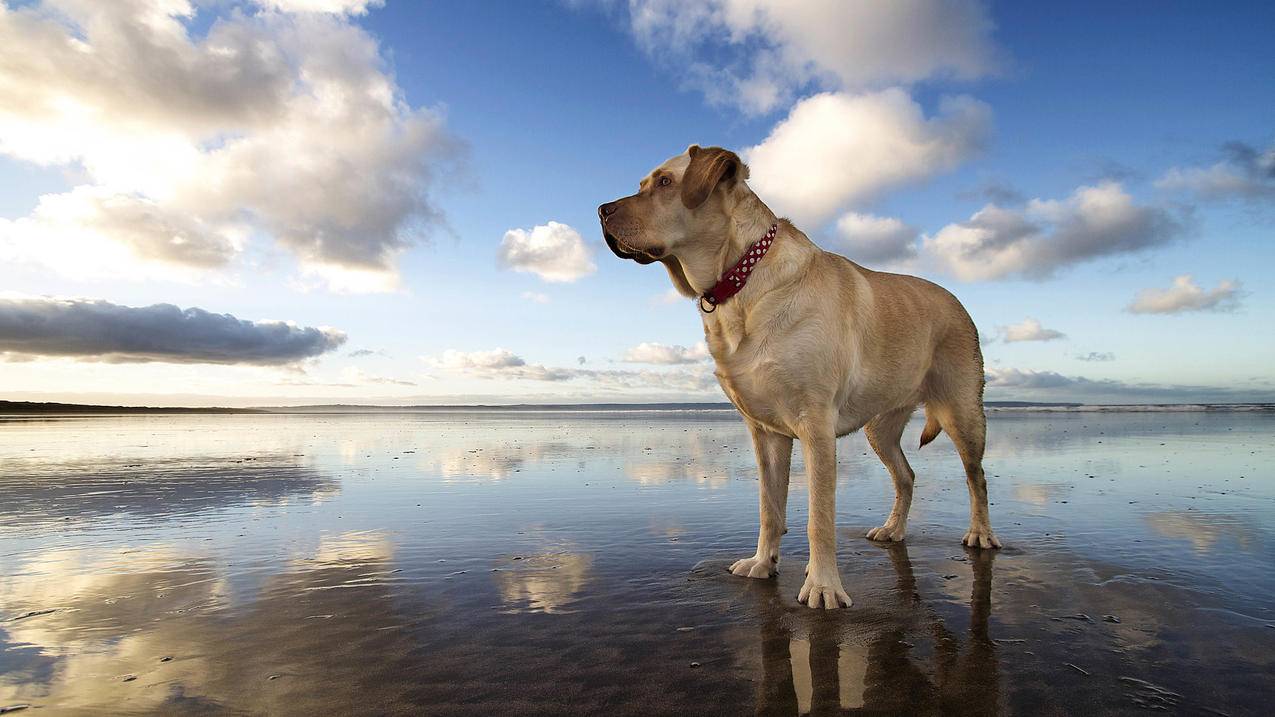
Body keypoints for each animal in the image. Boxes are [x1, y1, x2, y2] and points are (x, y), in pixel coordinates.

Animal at [601, 145, 999, 607]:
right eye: (642, 184)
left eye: (665, 182)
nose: (601, 210)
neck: (741, 282)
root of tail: (957, 300)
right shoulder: (766, 432)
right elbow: (769, 508)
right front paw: (762, 563)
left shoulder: (816, 426)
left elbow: (819, 518)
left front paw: (823, 586)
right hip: (880, 428)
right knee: (906, 475)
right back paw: (893, 529)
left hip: (962, 411)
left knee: (977, 477)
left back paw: (980, 533)